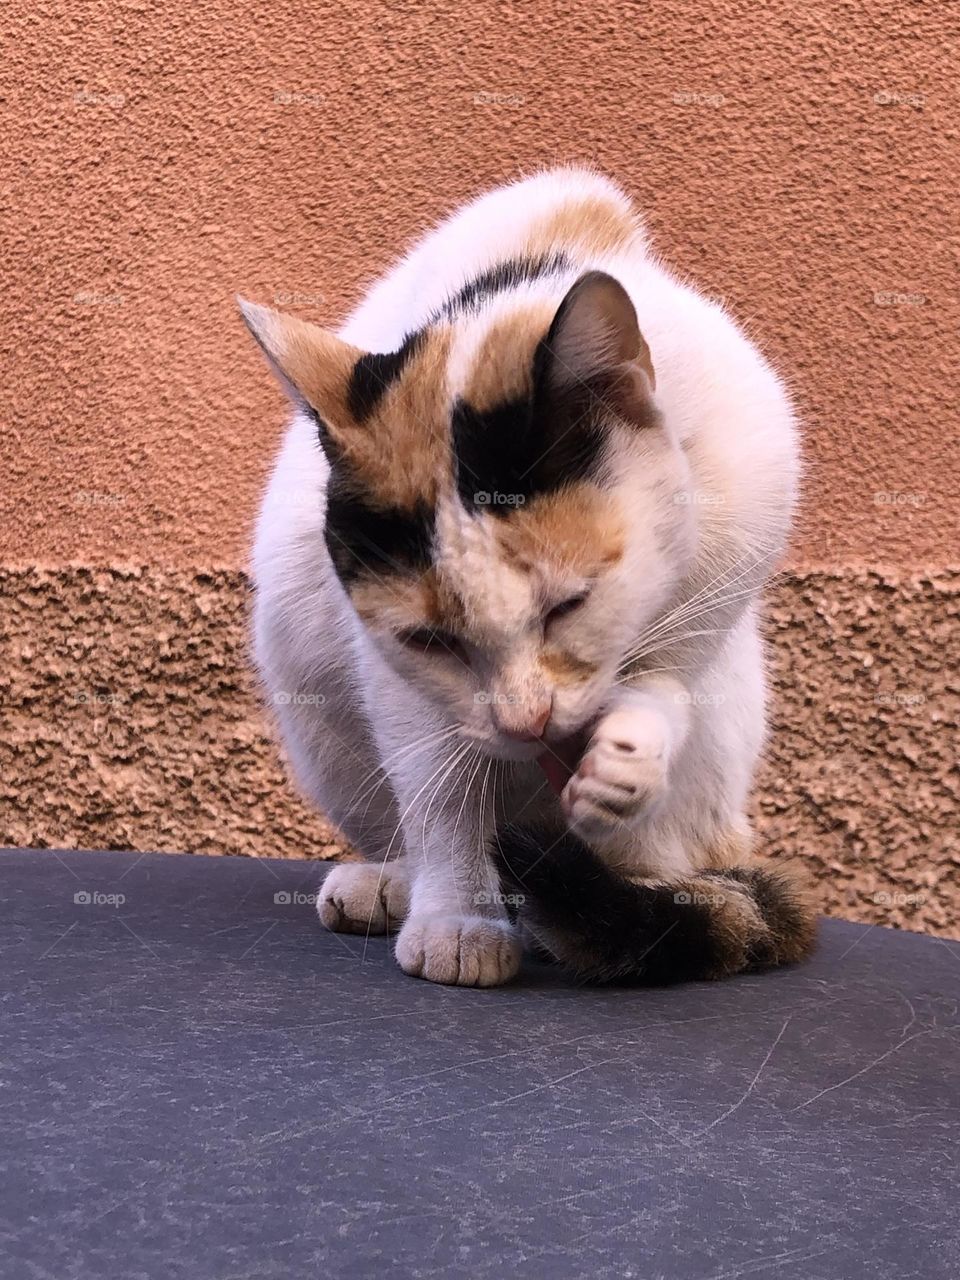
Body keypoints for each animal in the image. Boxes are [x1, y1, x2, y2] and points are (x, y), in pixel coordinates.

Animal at [241, 167, 819, 988]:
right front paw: (457, 918)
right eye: (430, 641)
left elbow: (665, 681)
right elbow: (440, 786)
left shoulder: (740, 534)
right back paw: (394, 882)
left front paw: (627, 758)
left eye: (569, 605)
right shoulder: (392, 670)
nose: (526, 724)